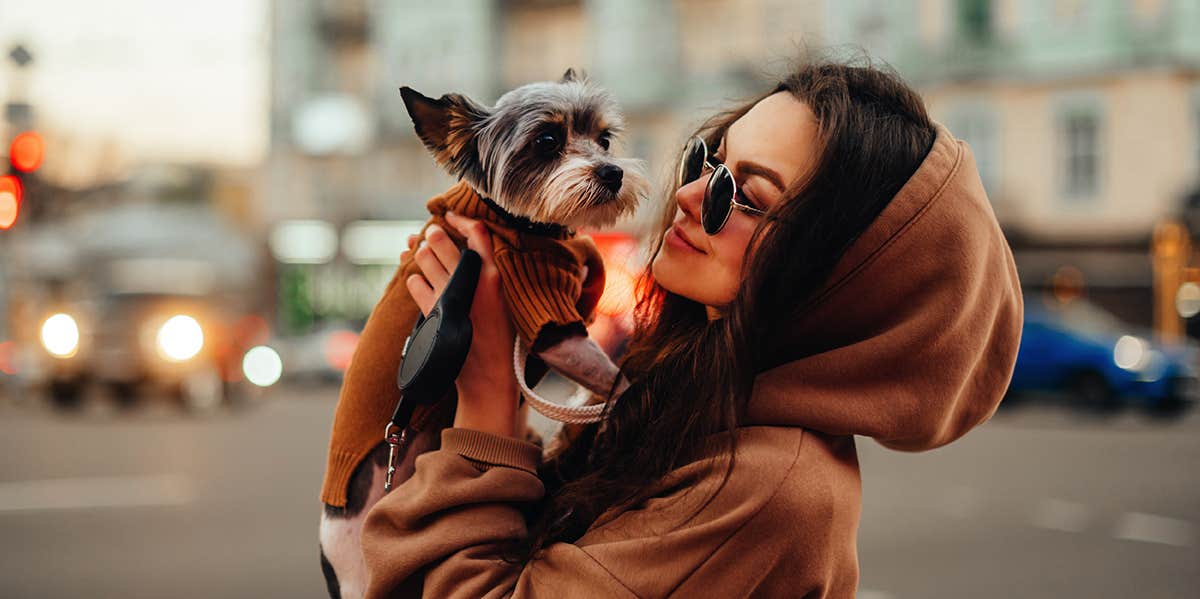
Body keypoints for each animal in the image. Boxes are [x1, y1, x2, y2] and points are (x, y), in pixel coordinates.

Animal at [319, 68, 648, 597]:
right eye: (548, 141)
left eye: (604, 139)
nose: (612, 172)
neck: (528, 228)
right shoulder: (549, 322)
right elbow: (614, 374)